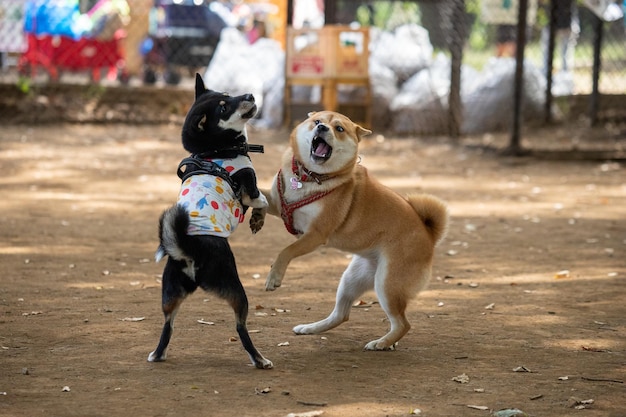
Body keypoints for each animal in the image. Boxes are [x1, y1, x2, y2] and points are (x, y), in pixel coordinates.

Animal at [149, 74, 272, 368]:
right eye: (224, 108)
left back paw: (158, 354)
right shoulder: (249, 186)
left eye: (228, 95)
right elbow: (262, 198)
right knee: (240, 326)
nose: (250, 95)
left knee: (168, 325)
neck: (214, 151)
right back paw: (259, 359)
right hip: (235, 289)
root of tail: (188, 250)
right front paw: (259, 218)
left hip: (170, 295)